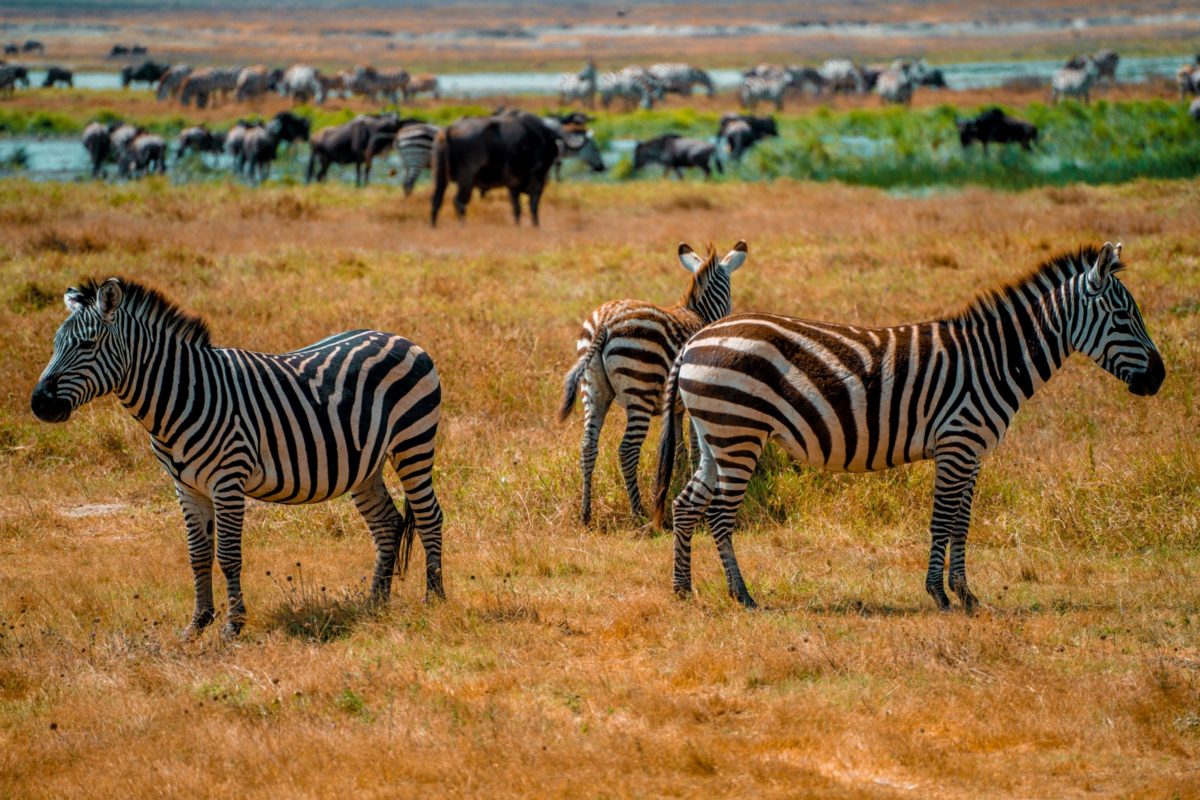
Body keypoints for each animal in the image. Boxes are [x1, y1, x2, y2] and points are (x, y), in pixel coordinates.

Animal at [30, 278, 445, 638]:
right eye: (55, 344)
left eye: (88, 344)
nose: (39, 404)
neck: (181, 395)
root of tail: (398, 337)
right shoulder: (186, 486)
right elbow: (198, 554)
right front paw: (197, 623)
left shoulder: (227, 481)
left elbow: (228, 555)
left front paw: (233, 626)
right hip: (364, 464)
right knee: (387, 523)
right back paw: (375, 602)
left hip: (413, 443)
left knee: (429, 516)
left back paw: (435, 598)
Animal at [559, 241, 748, 524]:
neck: (697, 312)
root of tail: (605, 322)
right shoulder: (690, 400)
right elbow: (693, 446)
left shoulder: (677, 407)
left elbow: (678, 446)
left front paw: (679, 474)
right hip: (640, 388)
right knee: (627, 450)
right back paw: (638, 512)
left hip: (592, 389)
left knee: (587, 447)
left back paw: (585, 513)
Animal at [652, 243, 1164, 611]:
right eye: (1124, 316)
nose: (1159, 378)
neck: (994, 361)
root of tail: (697, 337)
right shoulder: (957, 444)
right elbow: (942, 520)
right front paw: (939, 594)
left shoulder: (973, 452)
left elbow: (962, 523)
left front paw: (967, 595)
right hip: (739, 431)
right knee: (719, 513)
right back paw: (743, 596)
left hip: (714, 435)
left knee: (685, 504)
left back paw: (683, 590)